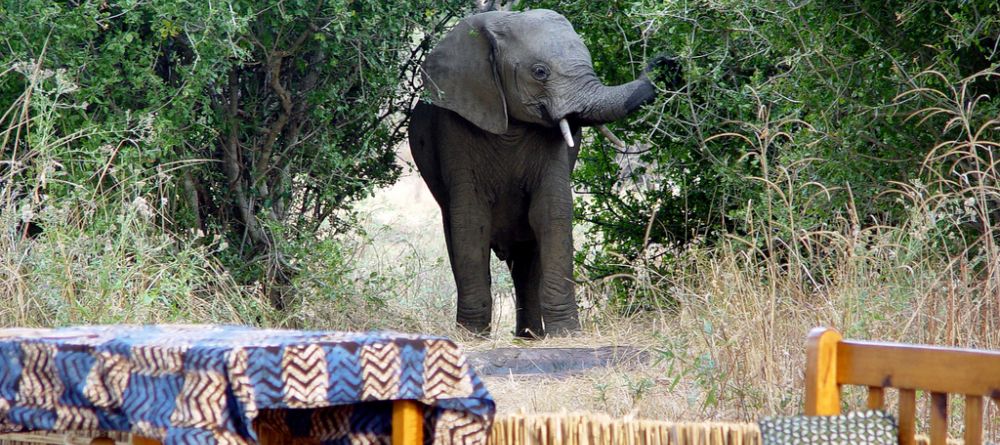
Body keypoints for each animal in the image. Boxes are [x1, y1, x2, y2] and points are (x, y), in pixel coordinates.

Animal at [406, 8, 680, 336]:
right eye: (540, 72)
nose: (665, 63)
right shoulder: (456, 129)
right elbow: (470, 221)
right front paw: (471, 334)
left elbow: (551, 212)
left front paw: (567, 333)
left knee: (526, 257)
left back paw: (530, 336)